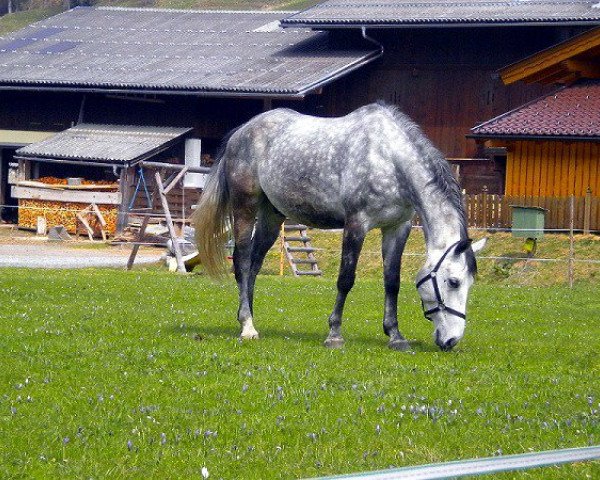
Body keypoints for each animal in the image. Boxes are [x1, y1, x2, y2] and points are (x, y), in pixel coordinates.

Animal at [195, 104, 486, 352]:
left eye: (470, 283)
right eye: (454, 281)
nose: (452, 340)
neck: (389, 158)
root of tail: (240, 132)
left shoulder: (397, 227)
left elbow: (392, 281)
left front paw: (395, 335)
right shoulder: (356, 224)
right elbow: (345, 279)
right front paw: (334, 334)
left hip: (271, 216)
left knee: (254, 265)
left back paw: (248, 318)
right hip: (245, 208)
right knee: (243, 262)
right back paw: (247, 326)